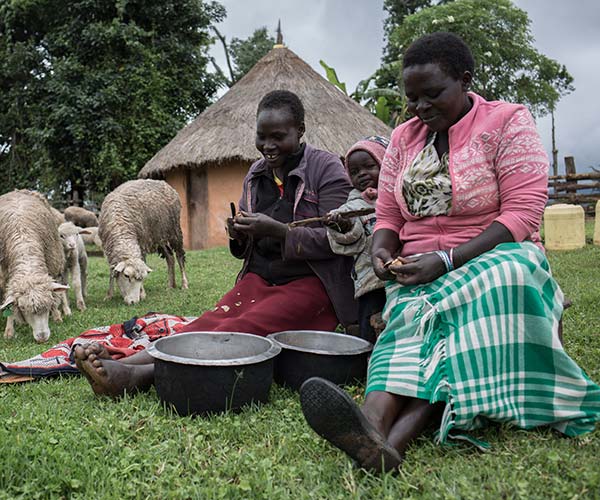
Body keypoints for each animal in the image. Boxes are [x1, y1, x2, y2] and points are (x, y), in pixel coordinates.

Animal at [0, 189, 70, 342]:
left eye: (47, 305)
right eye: (23, 308)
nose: (42, 338)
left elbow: (55, 294)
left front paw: (56, 315)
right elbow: (9, 303)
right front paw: (9, 331)